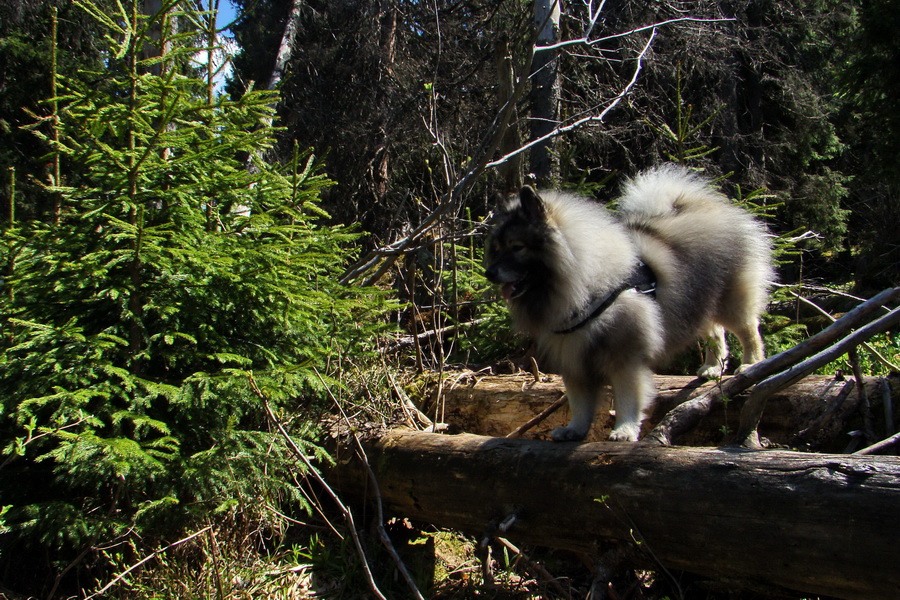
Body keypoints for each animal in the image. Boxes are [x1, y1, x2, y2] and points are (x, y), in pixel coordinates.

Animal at [486, 164, 772, 440]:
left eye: (517, 247)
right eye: (497, 248)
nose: (489, 273)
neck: (585, 284)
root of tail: (704, 205)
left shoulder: (625, 358)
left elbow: (627, 397)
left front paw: (624, 429)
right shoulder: (574, 359)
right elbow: (579, 403)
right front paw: (575, 429)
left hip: (730, 303)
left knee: (749, 330)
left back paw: (751, 363)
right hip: (696, 304)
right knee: (714, 332)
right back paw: (712, 367)